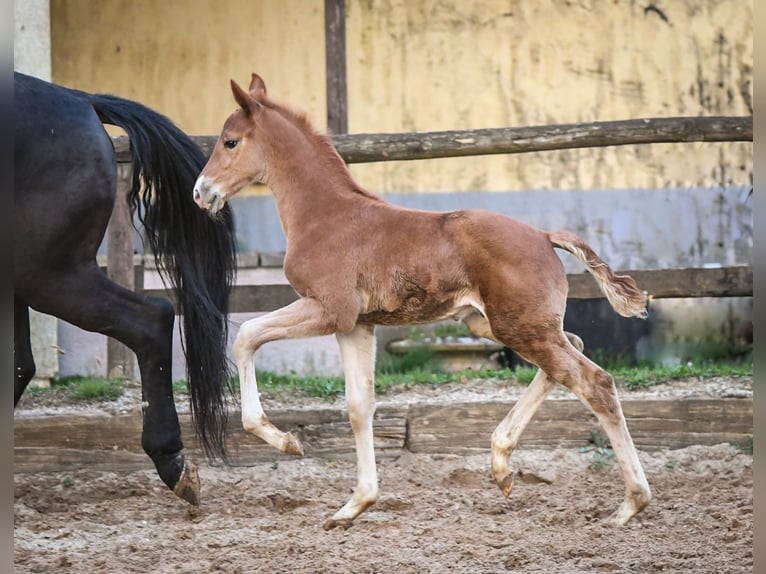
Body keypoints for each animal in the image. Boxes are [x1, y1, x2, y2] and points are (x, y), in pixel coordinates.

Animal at [195, 73, 652, 532]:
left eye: (230, 142)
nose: (201, 192)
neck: (326, 216)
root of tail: (543, 235)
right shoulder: (356, 325)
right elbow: (359, 406)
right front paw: (354, 505)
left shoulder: (329, 309)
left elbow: (247, 336)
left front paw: (285, 441)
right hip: (499, 324)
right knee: (571, 350)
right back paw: (501, 464)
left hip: (519, 326)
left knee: (593, 381)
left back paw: (630, 504)